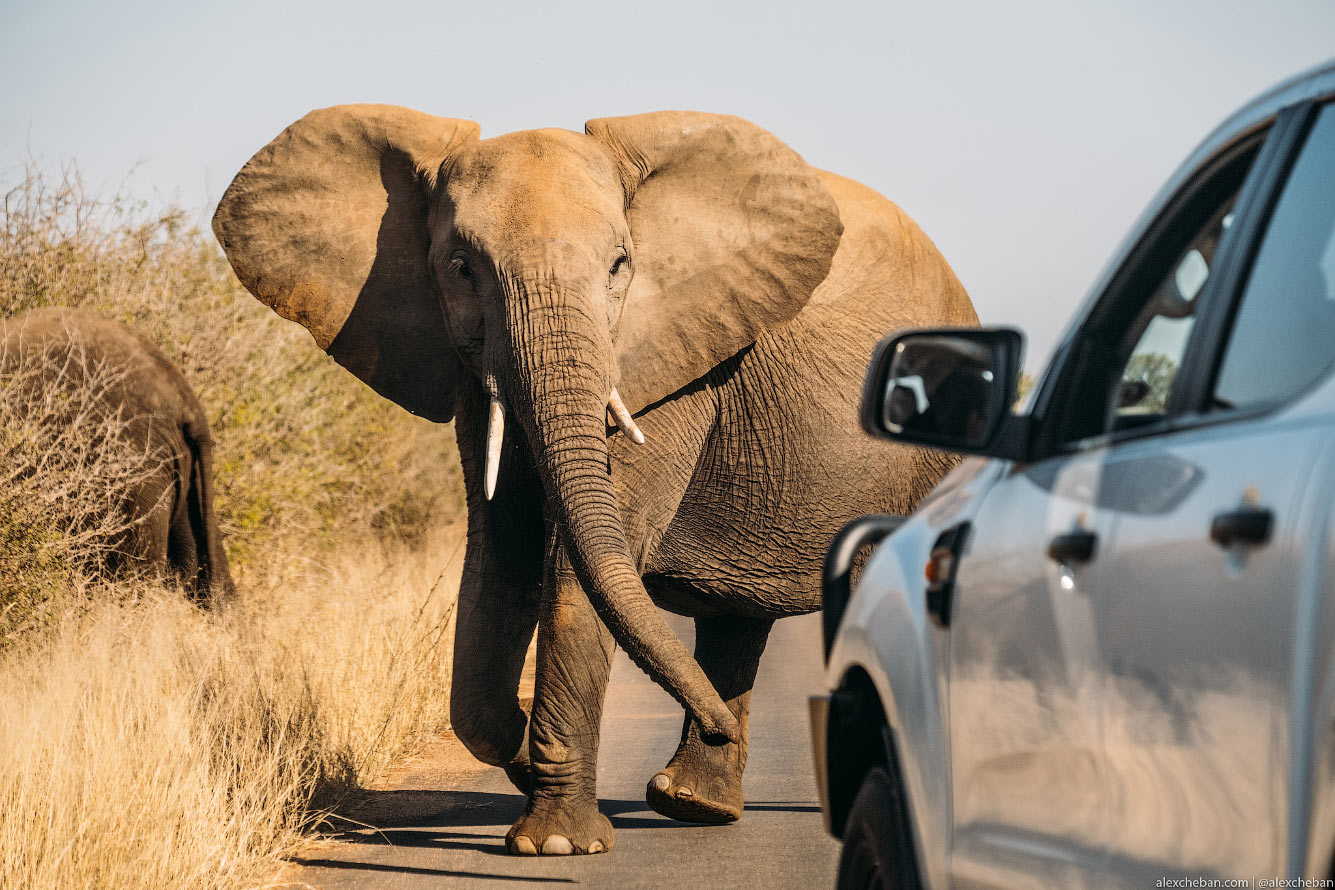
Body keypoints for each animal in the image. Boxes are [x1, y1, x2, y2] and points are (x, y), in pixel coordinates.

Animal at [213, 104, 977, 853]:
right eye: (460, 267)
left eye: (619, 265)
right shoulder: (466, 363)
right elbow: (501, 550)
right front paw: (524, 759)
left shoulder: (668, 365)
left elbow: (576, 571)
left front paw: (554, 844)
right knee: (736, 616)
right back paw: (692, 800)